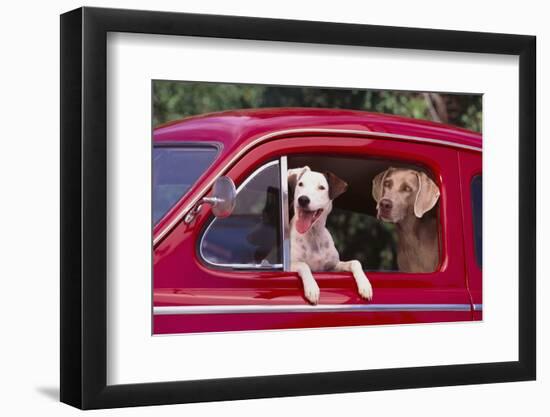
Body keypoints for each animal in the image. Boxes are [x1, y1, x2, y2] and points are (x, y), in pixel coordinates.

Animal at [288, 166, 376, 306]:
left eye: (321, 187)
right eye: (300, 184)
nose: (303, 199)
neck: (314, 235)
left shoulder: (332, 267)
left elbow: (355, 262)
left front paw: (365, 285)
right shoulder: (290, 265)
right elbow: (304, 265)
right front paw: (312, 288)